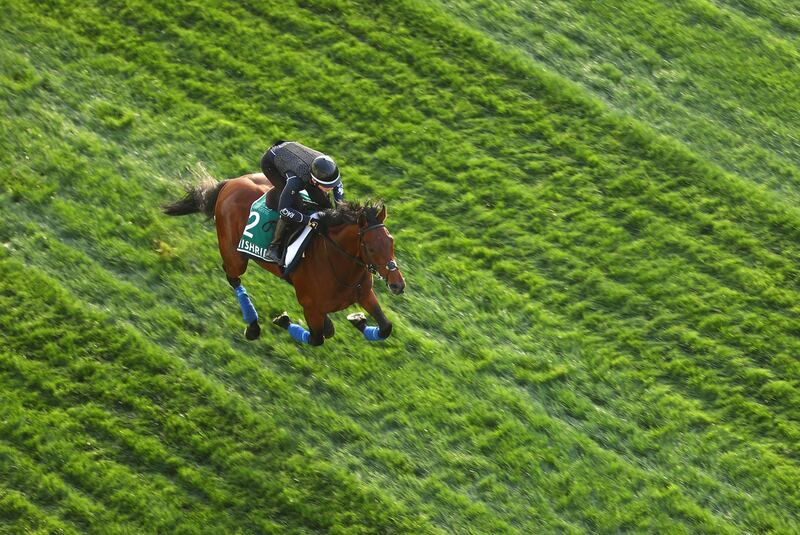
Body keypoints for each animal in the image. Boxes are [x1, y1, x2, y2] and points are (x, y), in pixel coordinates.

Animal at [166, 173, 410, 348]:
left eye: (391, 241)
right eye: (370, 247)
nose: (397, 285)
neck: (340, 267)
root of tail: (229, 184)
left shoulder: (364, 293)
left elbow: (386, 327)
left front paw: (358, 319)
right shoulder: (309, 306)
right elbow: (317, 338)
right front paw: (282, 319)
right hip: (235, 255)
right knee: (233, 277)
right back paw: (253, 326)